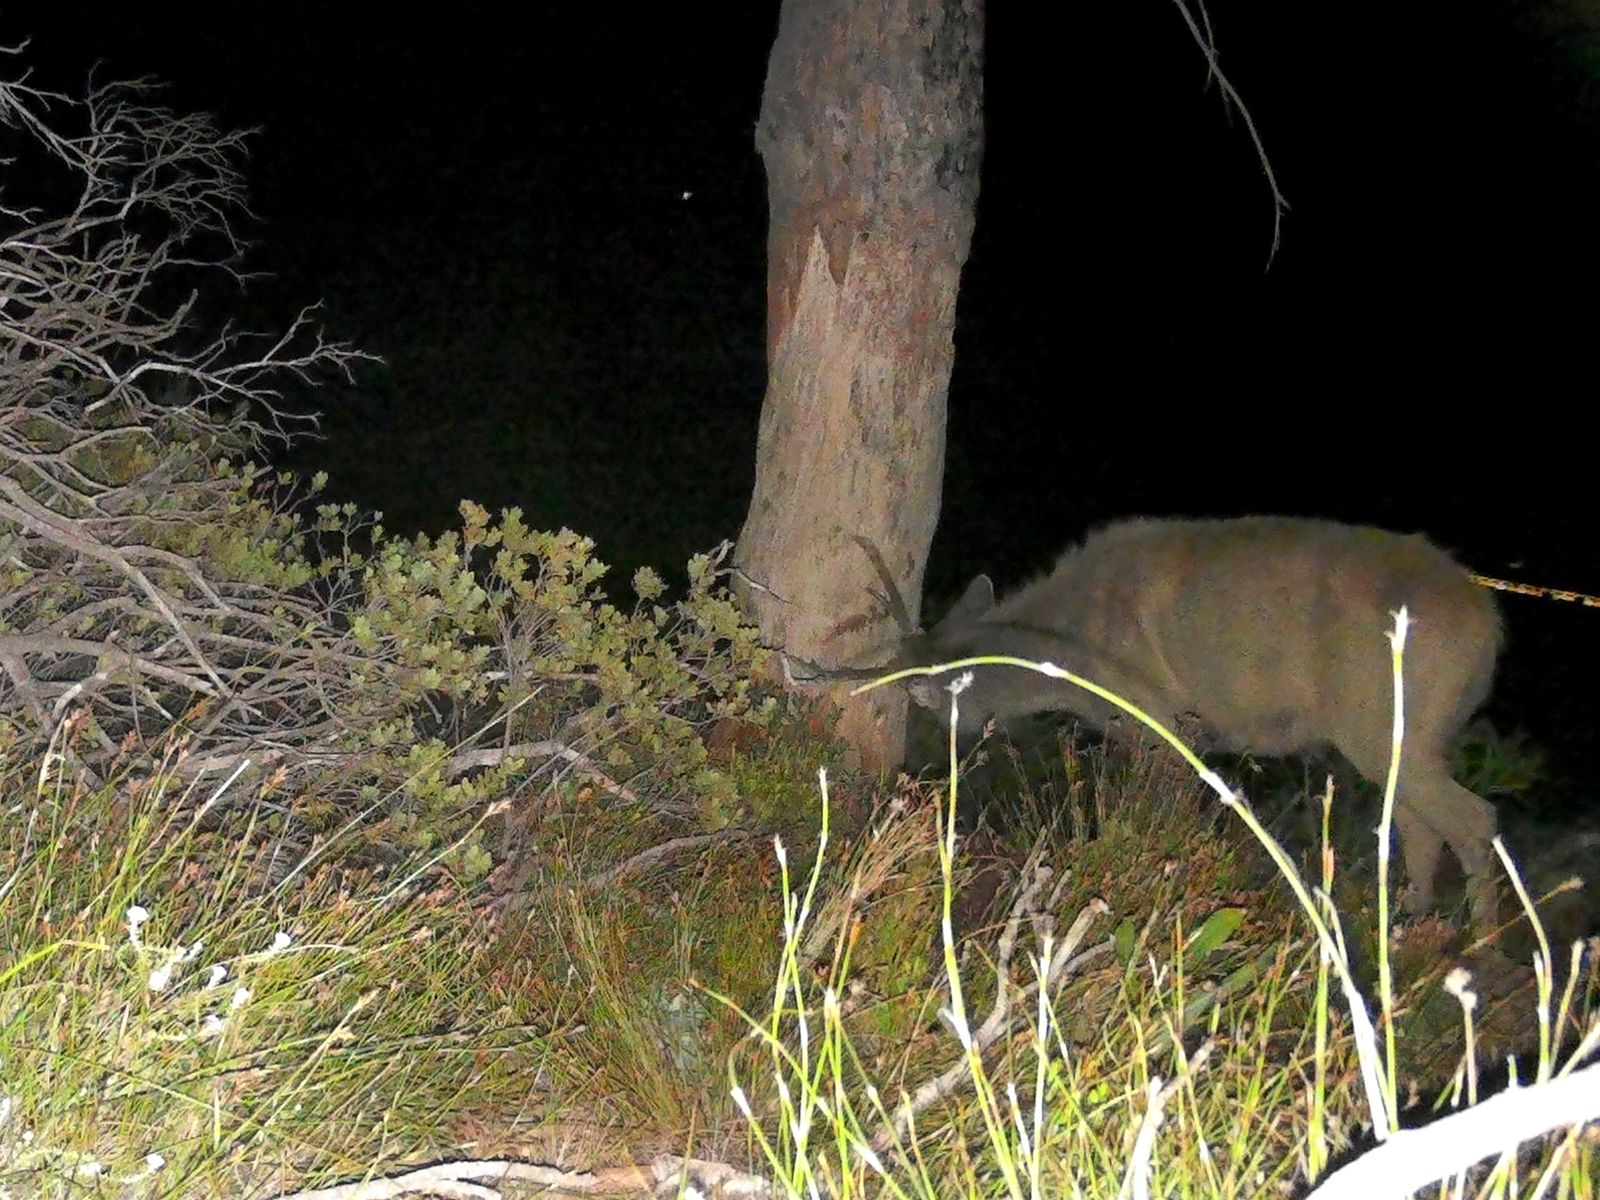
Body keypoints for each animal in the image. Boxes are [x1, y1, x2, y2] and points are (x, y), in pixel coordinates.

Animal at [890, 516, 1504, 933]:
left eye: (932, 700)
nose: (930, 760)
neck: (1071, 649)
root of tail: (1490, 630)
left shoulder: (1159, 718)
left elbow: (1154, 817)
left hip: (1378, 721)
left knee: (1473, 817)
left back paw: (1485, 944)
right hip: (1402, 731)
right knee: (1419, 821)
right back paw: (1410, 920)